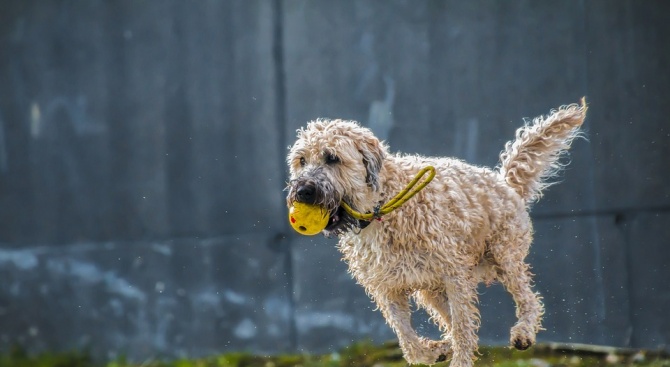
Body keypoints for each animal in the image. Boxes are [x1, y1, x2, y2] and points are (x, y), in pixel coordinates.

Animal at [288, 101, 588, 367]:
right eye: (301, 160)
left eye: (332, 158)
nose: (302, 191)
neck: (381, 207)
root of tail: (504, 184)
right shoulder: (387, 288)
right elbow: (408, 338)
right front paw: (435, 352)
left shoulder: (455, 275)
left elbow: (464, 329)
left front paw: (457, 357)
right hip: (432, 289)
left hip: (505, 257)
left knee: (528, 299)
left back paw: (524, 332)